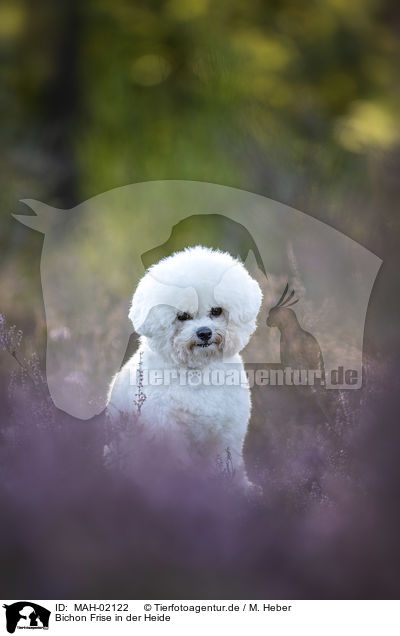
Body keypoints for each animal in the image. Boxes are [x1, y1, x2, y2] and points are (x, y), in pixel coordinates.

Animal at [106, 245, 262, 486]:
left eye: (216, 311)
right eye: (182, 316)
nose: (204, 333)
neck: (198, 373)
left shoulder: (228, 434)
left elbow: (229, 465)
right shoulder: (168, 434)